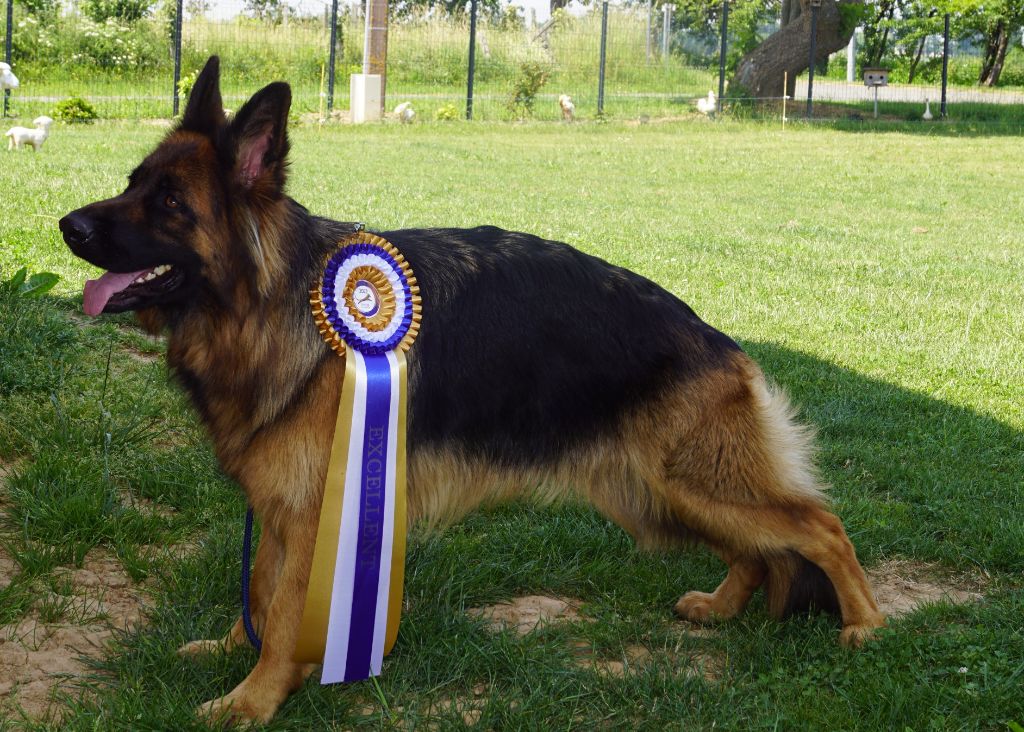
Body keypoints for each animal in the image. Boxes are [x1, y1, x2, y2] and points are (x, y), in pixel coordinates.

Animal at [59, 60, 884, 724]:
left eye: (170, 204)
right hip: (661, 495)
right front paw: (238, 651)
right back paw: (721, 607)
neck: (274, 305)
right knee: (764, 549)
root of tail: (717, 338)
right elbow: (261, 589)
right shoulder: (285, 509)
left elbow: (285, 608)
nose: (67, 225)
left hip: (689, 482)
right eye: (133, 184)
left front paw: (255, 699)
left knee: (820, 528)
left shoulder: (312, 510)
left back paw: (866, 625)